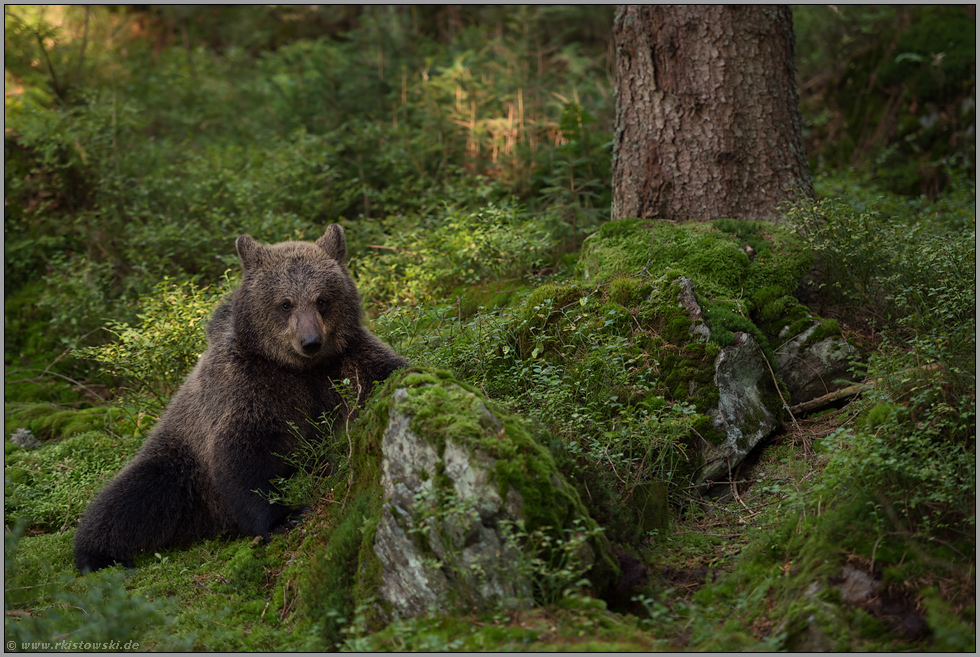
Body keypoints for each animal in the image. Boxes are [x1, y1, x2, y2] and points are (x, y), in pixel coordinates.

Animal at [73, 224, 406, 568]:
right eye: (285, 303)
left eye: (322, 299)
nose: (310, 341)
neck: (296, 368)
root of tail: (214, 522)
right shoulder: (246, 387)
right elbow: (243, 453)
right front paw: (283, 516)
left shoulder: (345, 362)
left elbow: (383, 373)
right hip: (182, 459)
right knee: (132, 498)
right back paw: (97, 555)